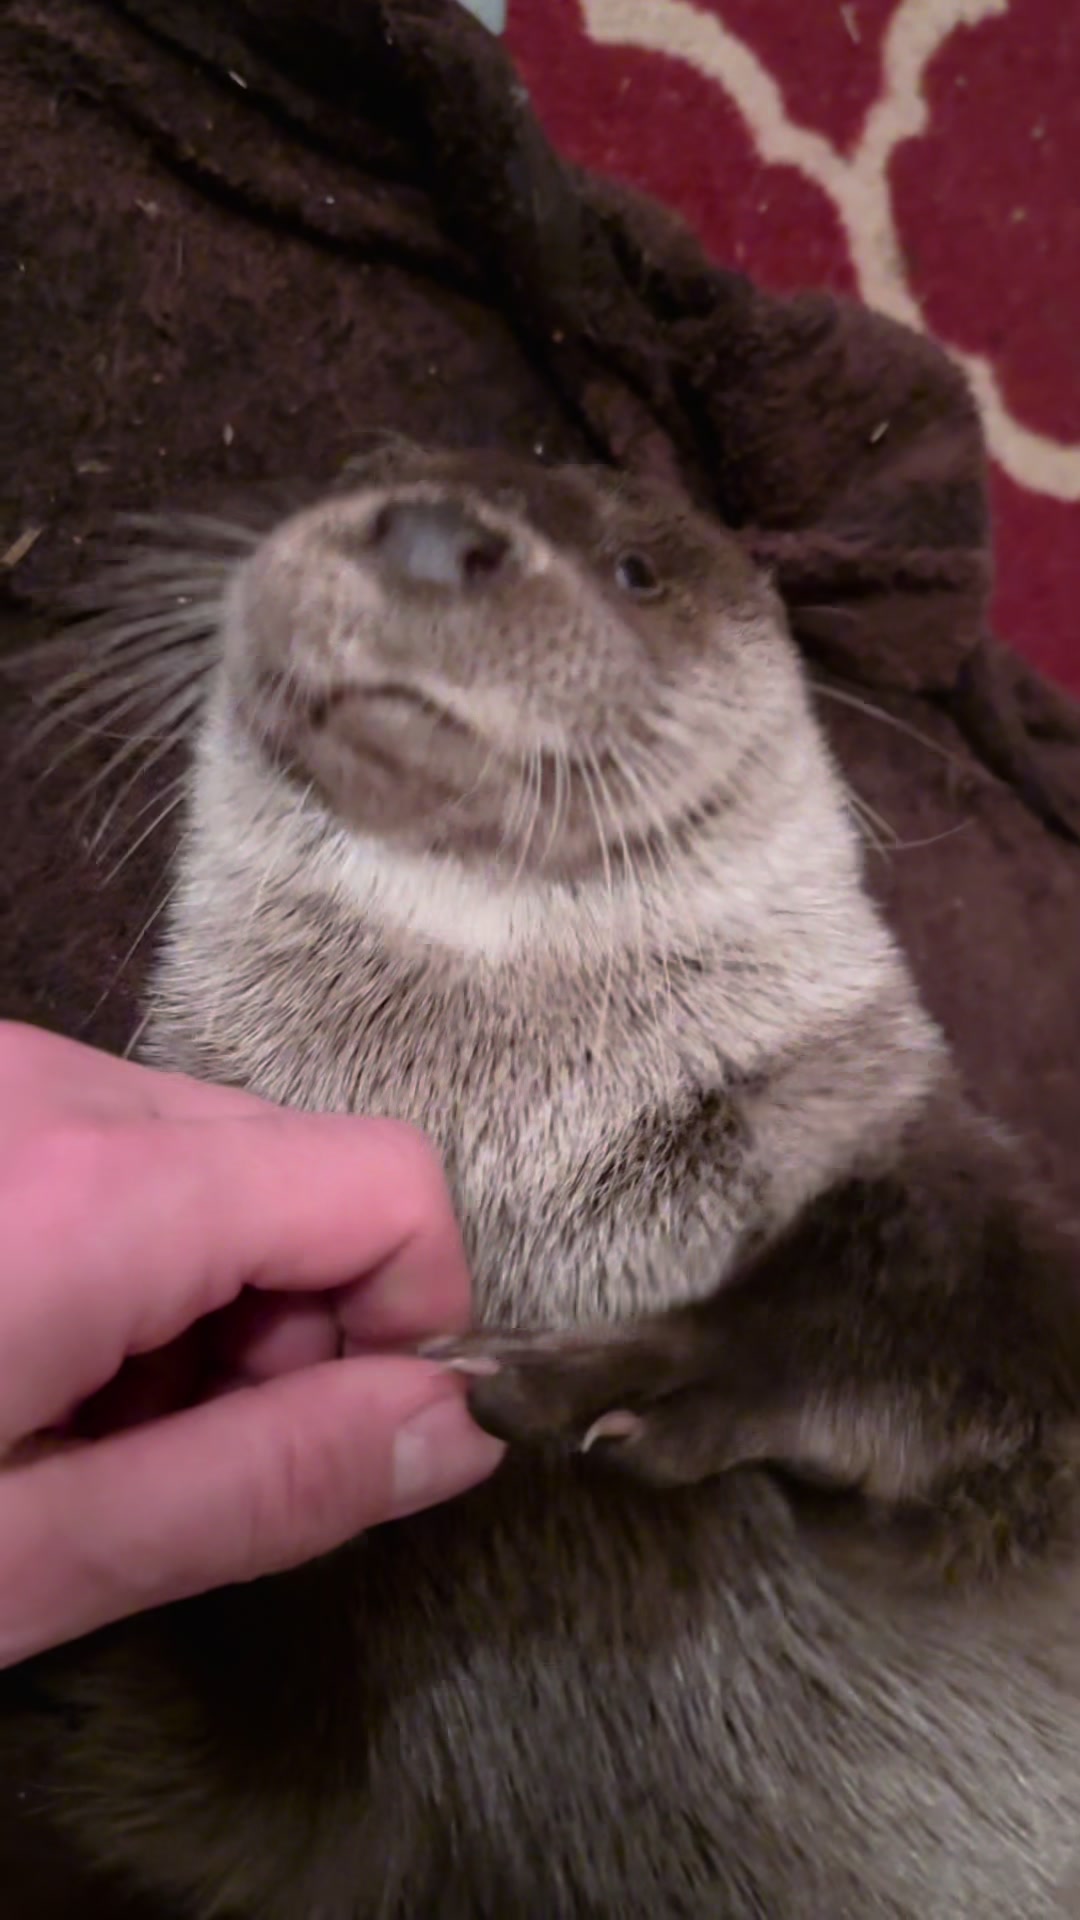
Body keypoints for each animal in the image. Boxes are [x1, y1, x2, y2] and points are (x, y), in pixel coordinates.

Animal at [5, 447, 1080, 1917]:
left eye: (637, 568)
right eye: (367, 465)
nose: (432, 527)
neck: (524, 1149)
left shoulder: (898, 1145)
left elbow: (950, 1324)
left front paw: (635, 1374)